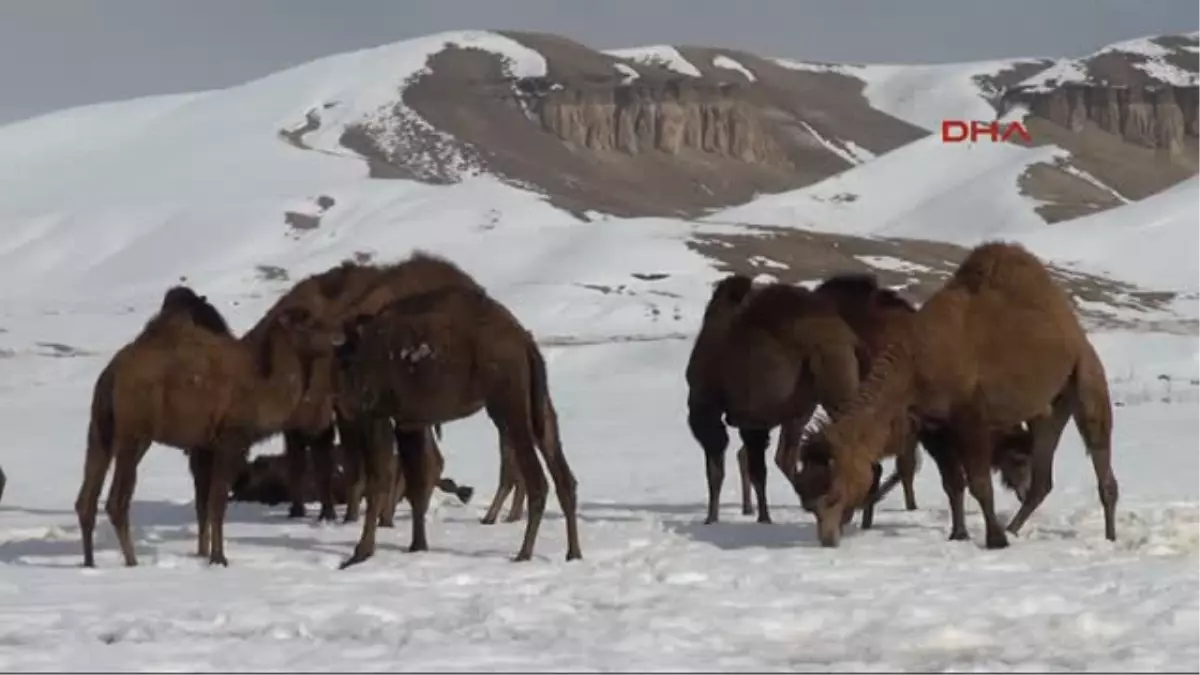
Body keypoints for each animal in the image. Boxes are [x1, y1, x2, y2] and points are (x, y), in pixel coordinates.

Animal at [74, 281, 340, 564]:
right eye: (307, 320)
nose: (340, 336)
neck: (263, 386)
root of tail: (112, 373)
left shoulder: (204, 446)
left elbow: (204, 503)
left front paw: (206, 555)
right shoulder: (231, 439)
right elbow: (218, 501)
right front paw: (219, 559)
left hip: (100, 425)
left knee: (86, 498)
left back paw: (90, 563)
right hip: (135, 432)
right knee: (117, 500)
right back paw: (132, 562)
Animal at [319, 281, 580, 564]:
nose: (343, 401)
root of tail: (524, 341)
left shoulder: (376, 414)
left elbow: (381, 479)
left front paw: (361, 552)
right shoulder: (409, 421)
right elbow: (417, 482)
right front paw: (417, 546)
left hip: (507, 402)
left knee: (538, 480)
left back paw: (524, 553)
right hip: (538, 402)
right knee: (563, 475)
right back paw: (573, 552)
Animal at [796, 241, 1113, 547]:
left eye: (832, 496)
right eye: (808, 504)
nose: (828, 539)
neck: (916, 364)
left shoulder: (972, 417)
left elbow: (979, 483)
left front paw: (995, 540)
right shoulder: (934, 426)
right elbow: (953, 484)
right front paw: (959, 534)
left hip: (1085, 374)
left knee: (1100, 454)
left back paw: (1109, 536)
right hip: (1049, 408)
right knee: (1041, 480)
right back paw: (1014, 529)